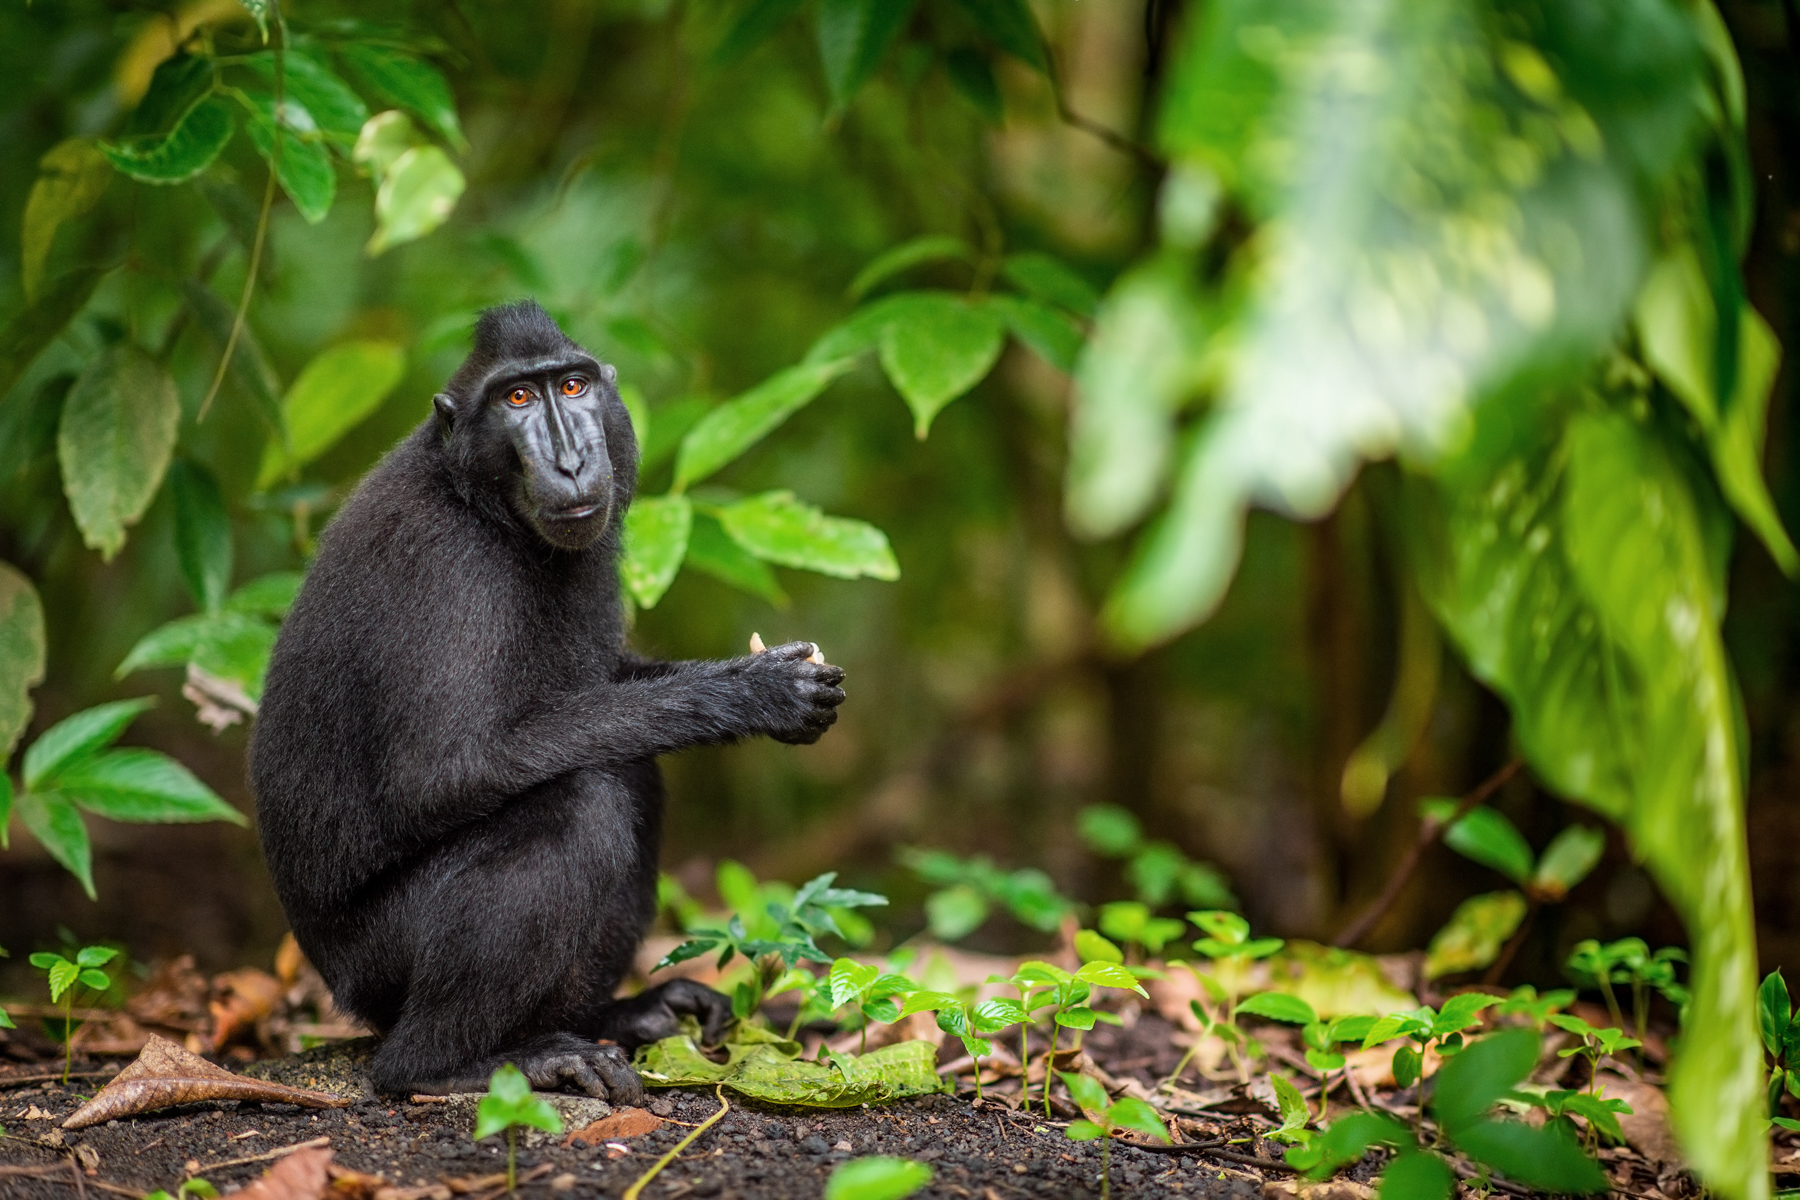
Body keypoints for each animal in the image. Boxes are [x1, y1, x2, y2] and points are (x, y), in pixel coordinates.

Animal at [249, 300, 846, 1101]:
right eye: (516, 399)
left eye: (571, 385)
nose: (568, 461)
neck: (479, 501)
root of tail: (329, 975)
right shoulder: (446, 567)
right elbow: (441, 773)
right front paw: (755, 692)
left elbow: (609, 680)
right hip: (380, 963)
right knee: (580, 804)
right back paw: (460, 1063)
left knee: (633, 772)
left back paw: (616, 1017)